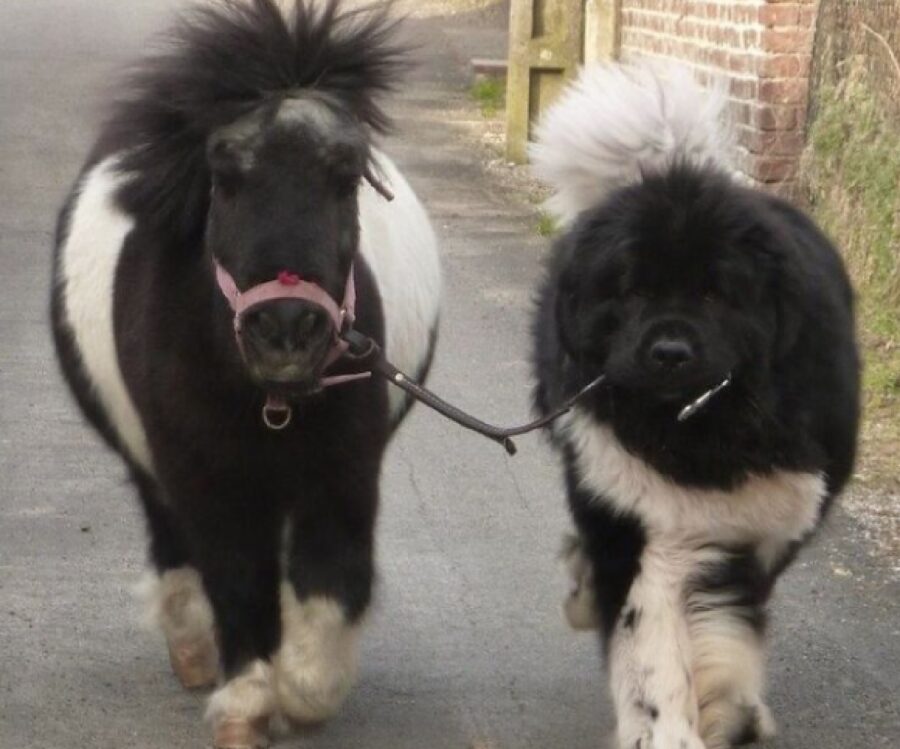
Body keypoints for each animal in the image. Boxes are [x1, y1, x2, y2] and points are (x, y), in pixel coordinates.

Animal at [51, 2, 440, 744]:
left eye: (345, 175)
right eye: (224, 177)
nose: (286, 331)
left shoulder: (343, 472)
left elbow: (329, 579)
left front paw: (301, 692)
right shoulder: (204, 473)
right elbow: (235, 577)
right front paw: (247, 703)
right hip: (154, 463)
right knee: (175, 542)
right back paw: (194, 650)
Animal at [532, 64, 860, 748]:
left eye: (715, 293)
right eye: (631, 291)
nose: (670, 351)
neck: (705, 432)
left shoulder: (766, 518)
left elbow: (725, 625)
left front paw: (730, 706)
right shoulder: (646, 518)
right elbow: (653, 646)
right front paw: (664, 728)